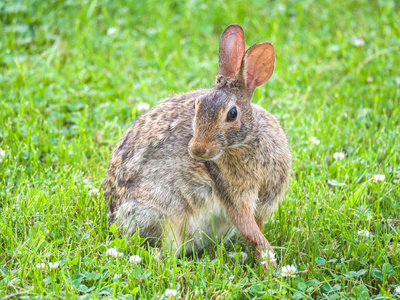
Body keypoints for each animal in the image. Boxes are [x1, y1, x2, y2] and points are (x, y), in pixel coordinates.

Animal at [103, 23, 290, 268]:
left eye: (232, 114)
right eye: (197, 105)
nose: (197, 150)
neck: (248, 140)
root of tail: (114, 219)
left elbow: (256, 231)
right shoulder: (233, 197)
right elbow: (251, 231)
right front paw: (271, 267)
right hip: (161, 216)